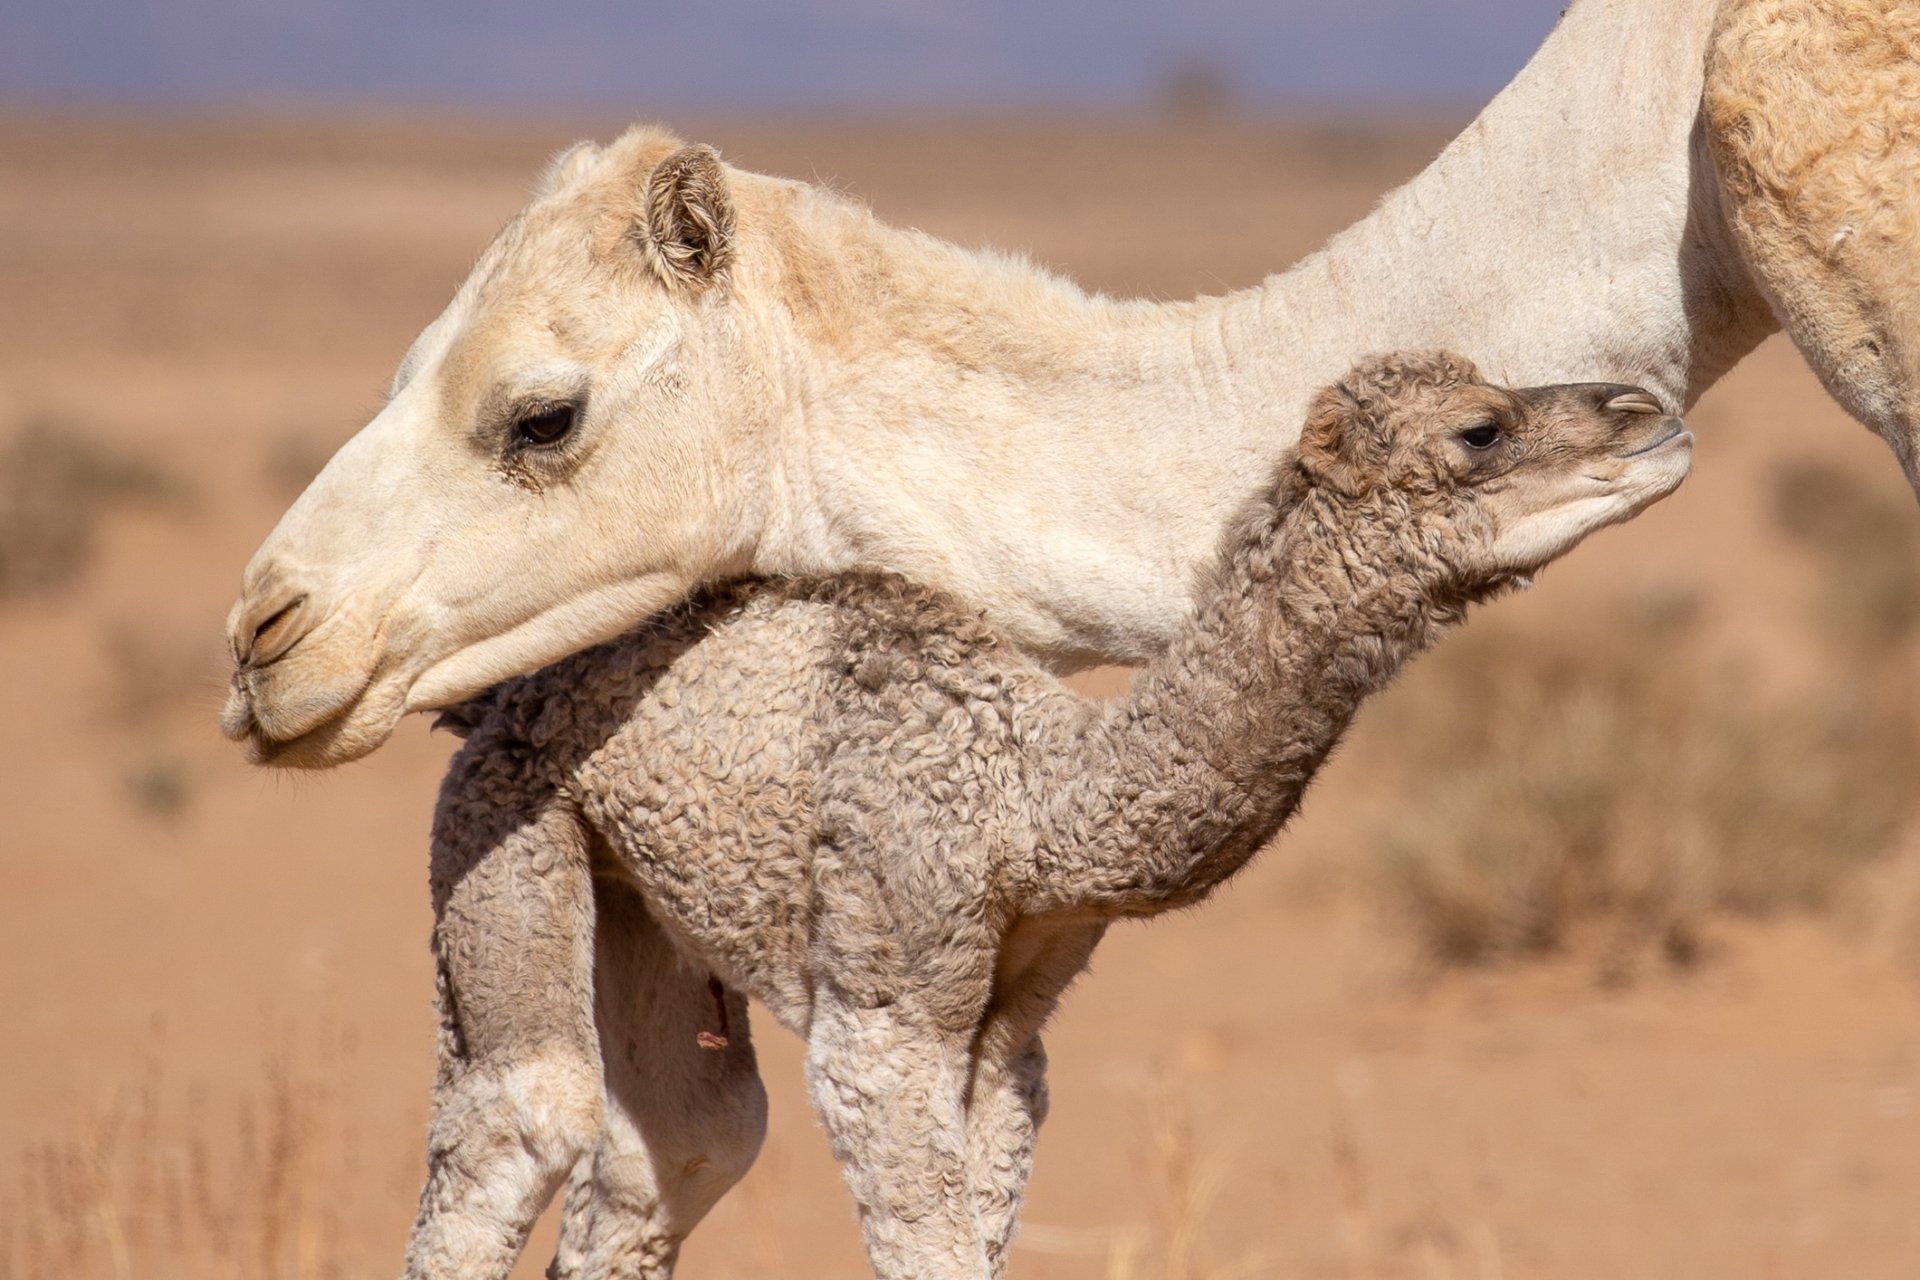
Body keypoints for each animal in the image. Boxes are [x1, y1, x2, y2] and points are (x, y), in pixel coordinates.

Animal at [409, 355, 1692, 1280]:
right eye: (1480, 429)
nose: (1651, 416)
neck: (1033, 802)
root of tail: (493, 690)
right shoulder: (886, 1004)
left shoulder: (1012, 1032)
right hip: (502, 819)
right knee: (520, 1114)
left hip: (635, 895)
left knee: (681, 1139)